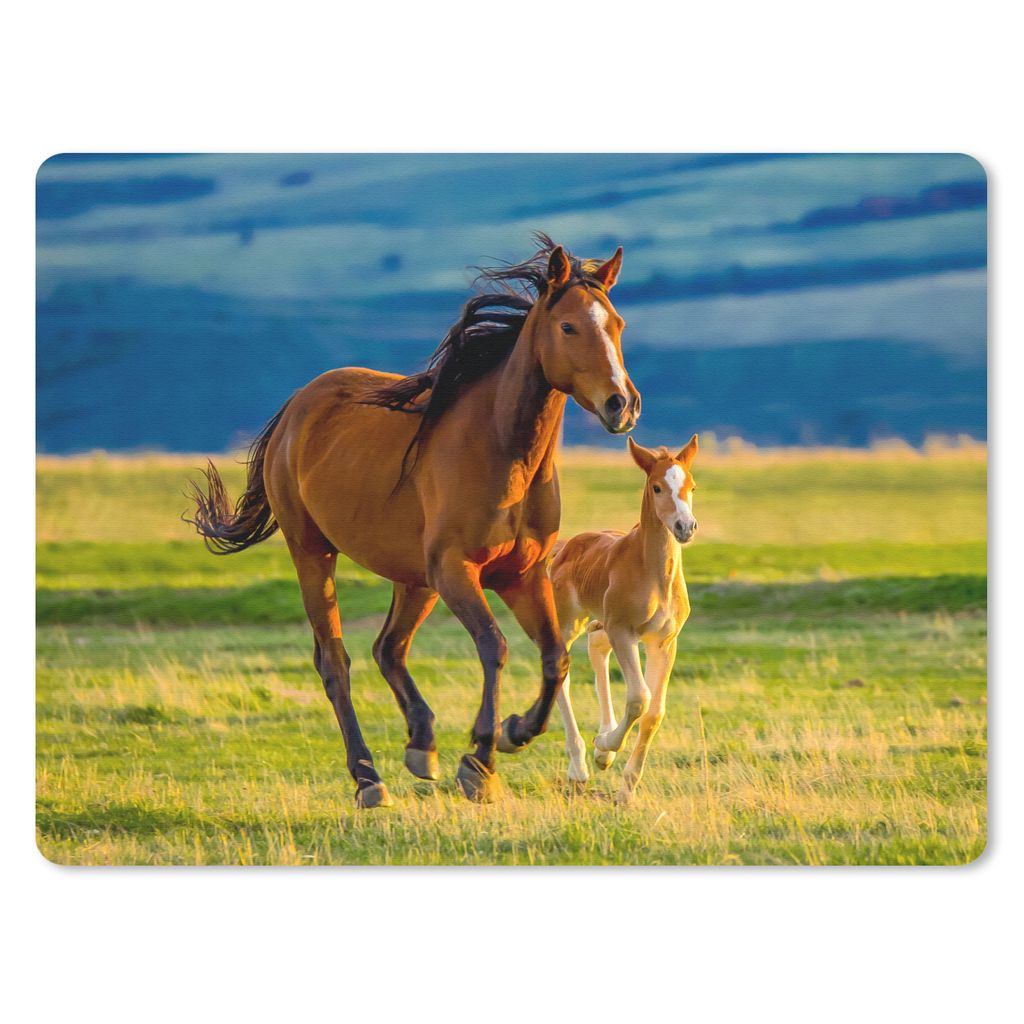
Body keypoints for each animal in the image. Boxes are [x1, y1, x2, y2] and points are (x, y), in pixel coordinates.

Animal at [185, 235, 641, 807]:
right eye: (568, 327)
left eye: (618, 324)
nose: (622, 404)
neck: (502, 451)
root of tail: (297, 407)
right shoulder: (457, 570)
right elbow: (494, 647)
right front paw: (480, 761)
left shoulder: (520, 575)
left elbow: (555, 658)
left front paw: (513, 732)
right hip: (314, 553)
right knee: (335, 662)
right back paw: (367, 777)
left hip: (414, 579)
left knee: (389, 649)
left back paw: (421, 745)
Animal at [549, 434, 699, 803]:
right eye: (657, 487)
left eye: (691, 486)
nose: (685, 527)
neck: (654, 573)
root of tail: (565, 547)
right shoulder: (624, 631)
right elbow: (639, 698)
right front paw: (605, 745)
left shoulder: (664, 642)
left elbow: (655, 712)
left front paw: (626, 788)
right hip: (569, 623)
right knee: (562, 672)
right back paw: (580, 767)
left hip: (600, 625)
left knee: (597, 652)